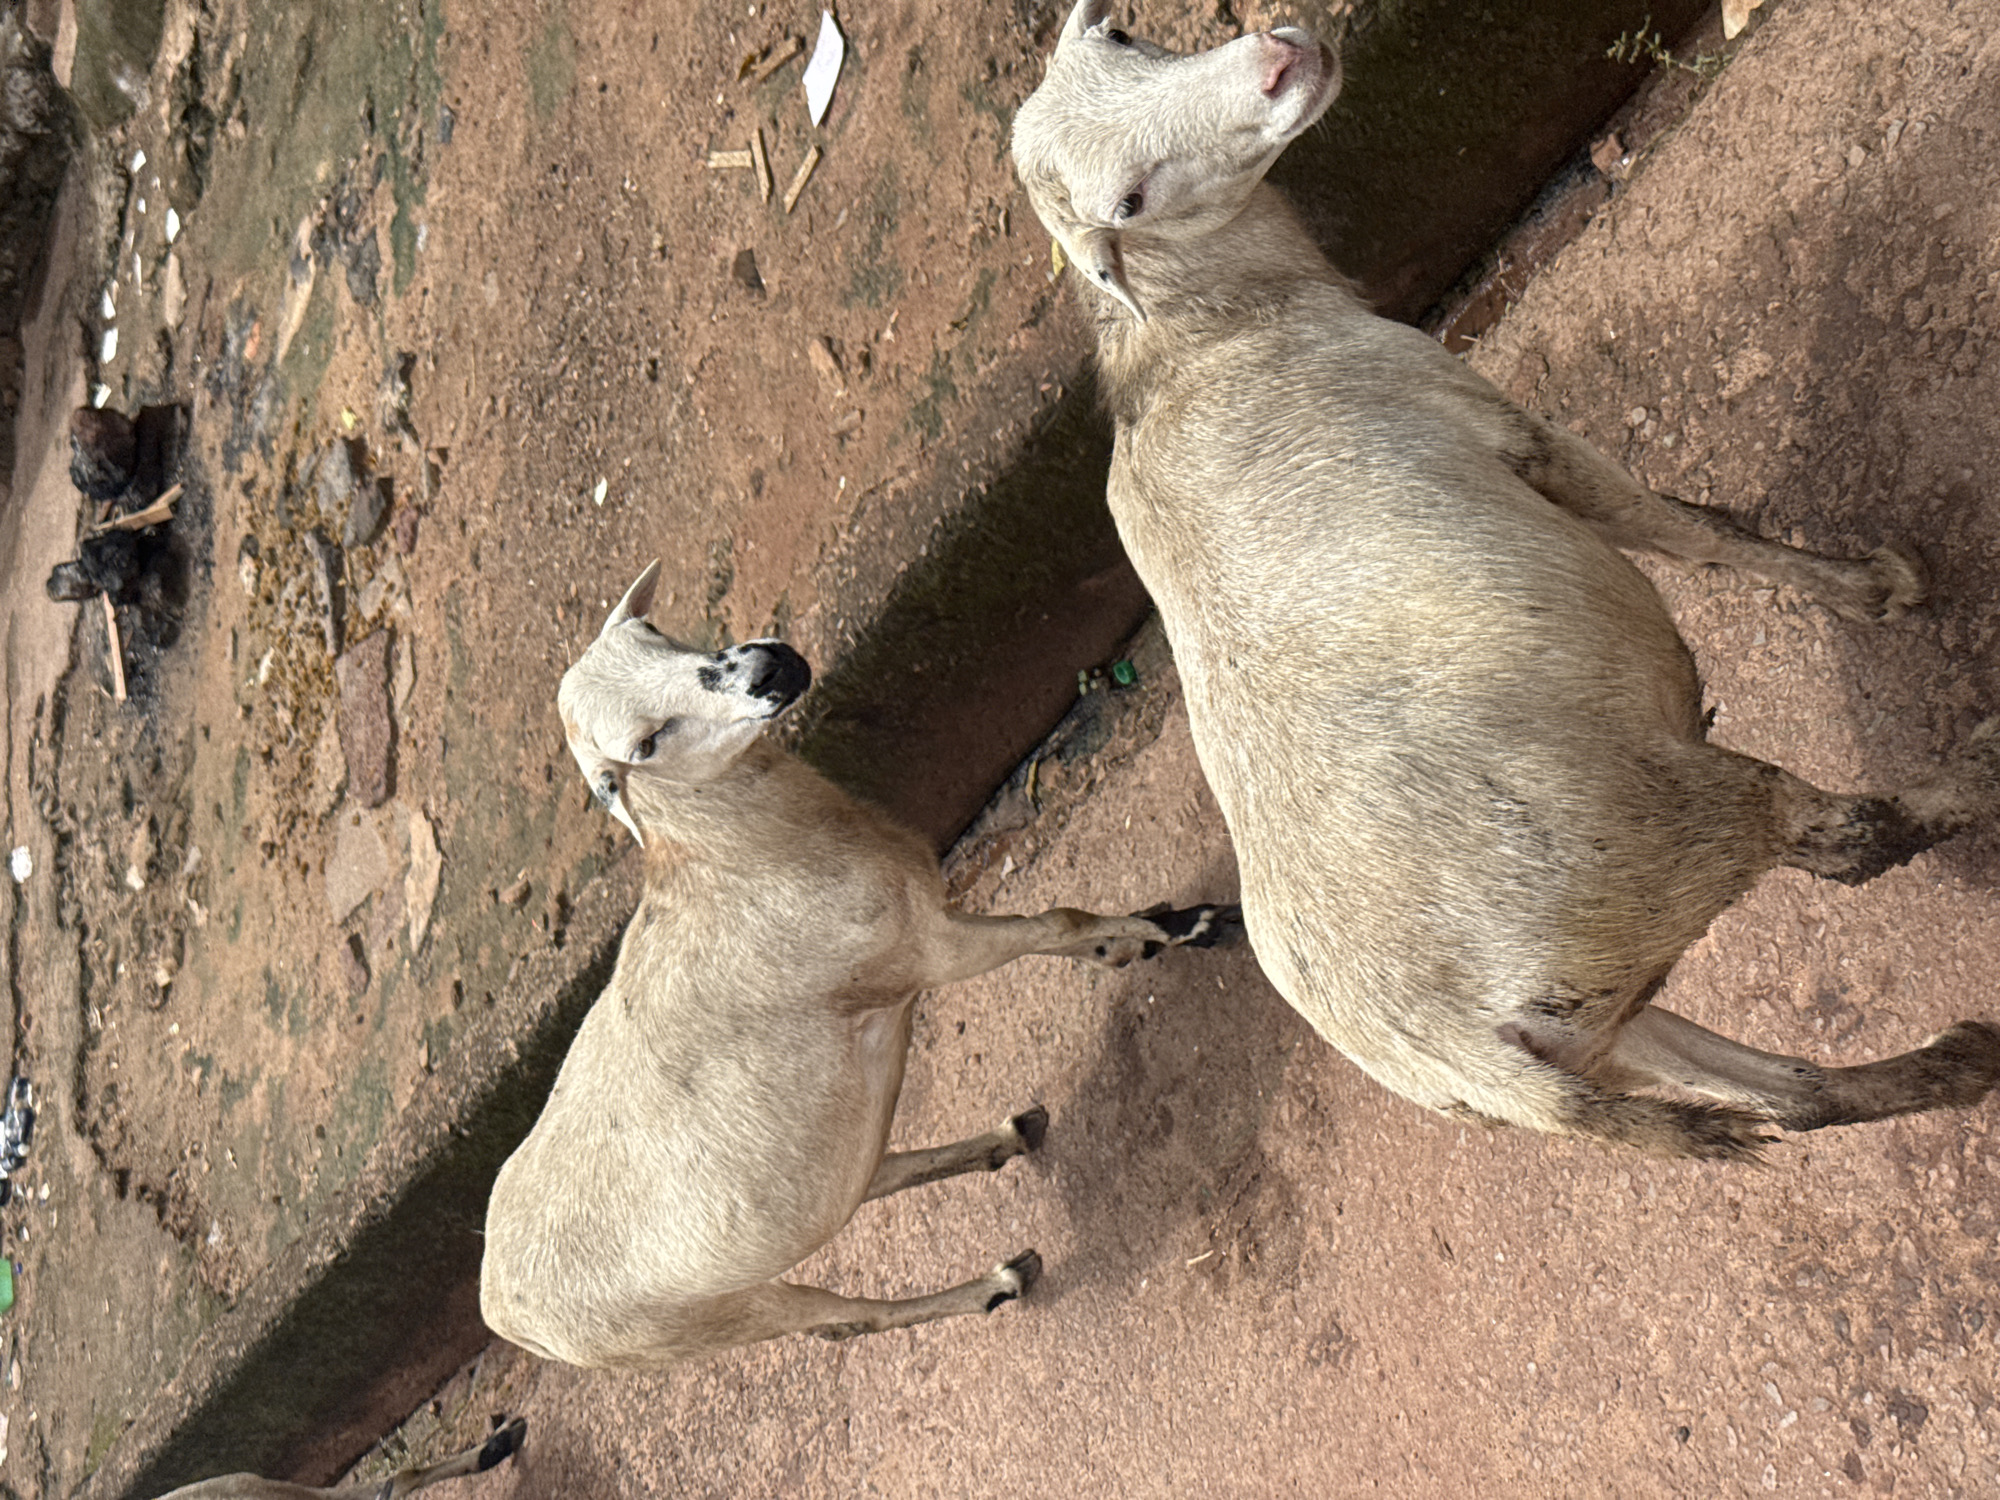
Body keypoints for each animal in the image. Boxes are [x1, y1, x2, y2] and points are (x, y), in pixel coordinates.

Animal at [479, 562, 1239, 1368]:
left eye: (653, 631)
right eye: (644, 744)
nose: (770, 667)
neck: (737, 862)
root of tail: (504, 1310)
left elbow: (1061, 931)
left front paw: (1137, 938)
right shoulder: (934, 951)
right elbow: (1057, 923)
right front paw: (1179, 927)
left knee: (873, 1175)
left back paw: (1003, 1141)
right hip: (705, 1322)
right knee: (843, 1323)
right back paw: (995, 1284)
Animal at [1009, 1, 2000, 1158]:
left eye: (1122, 36)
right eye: (1126, 200)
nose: (1283, 55)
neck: (1201, 334)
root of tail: (1454, 1055)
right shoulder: (1499, 426)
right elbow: (1686, 529)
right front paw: (1869, 587)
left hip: (1603, 1007)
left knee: (1792, 1098)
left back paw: (1957, 1062)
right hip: (1655, 835)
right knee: (1846, 845)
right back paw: (1973, 776)